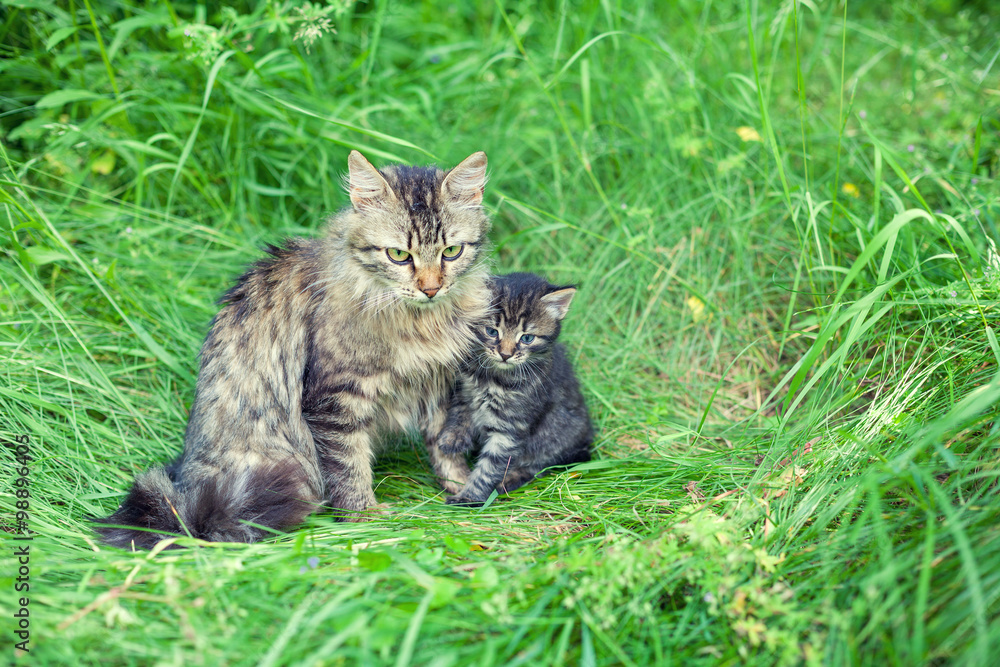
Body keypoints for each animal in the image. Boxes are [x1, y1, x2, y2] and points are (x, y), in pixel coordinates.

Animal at [96, 150, 493, 548]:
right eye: (398, 255)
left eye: (451, 252)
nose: (431, 288)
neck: (420, 322)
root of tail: (187, 500)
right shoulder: (335, 400)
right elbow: (349, 467)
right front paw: (364, 517)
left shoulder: (437, 383)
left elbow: (444, 443)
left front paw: (462, 488)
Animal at [437, 272, 593, 506]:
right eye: (492, 331)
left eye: (527, 338)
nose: (505, 354)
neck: (491, 378)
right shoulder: (462, 387)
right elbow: (459, 410)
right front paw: (452, 438)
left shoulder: (510, 428)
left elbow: (488, 467)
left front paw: (469, 497)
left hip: (556, 433)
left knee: (537, 465)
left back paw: (508, 480)